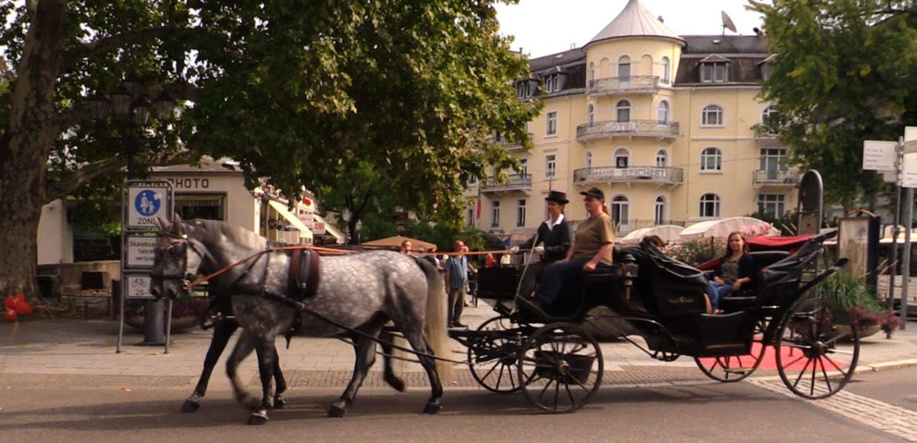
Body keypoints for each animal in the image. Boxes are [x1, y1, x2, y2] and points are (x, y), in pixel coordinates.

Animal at [151, 217, 450, 424]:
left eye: (173, 251)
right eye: (156, 250)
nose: (156, 290)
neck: (252, 270)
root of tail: (411, 260)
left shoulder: (259, 329)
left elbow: (262, 368)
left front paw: (262, 407)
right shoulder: (250, 328)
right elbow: (230, 363)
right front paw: (251, 398)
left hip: (408, 321)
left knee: (426, 355)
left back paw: (435, 398)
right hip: (369, 323)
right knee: (365, 361)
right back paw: (343, 402)